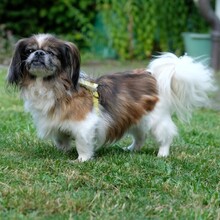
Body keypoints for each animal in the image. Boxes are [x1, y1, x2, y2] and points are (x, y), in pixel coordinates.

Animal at [7, 34, 215, 162]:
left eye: (51, 52)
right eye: (28, 51)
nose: (38, 53)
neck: (51, 85)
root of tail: (154, 77)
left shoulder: (85, 124)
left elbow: (83, 143)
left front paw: (81, 160)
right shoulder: (56, 123)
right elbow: (61, 139)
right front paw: (65, 150)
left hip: (156, 120)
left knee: (165, 136)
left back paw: (162, 154)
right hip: (136, 117)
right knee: (140, 137)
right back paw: (132, 149)